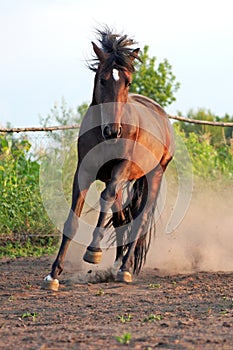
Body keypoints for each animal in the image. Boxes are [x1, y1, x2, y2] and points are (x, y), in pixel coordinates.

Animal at [43, 28, 175, 288]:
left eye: (128, 82)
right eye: (102, 79)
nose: (113, 131)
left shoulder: (121, 169)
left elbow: (105, 198)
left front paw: (93, 252)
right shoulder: (84, 172)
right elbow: (72, 220)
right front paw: (53, 274)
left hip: (154, 174)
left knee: (140, 219)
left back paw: (125, 269)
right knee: (122, 216)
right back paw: (117, 264)